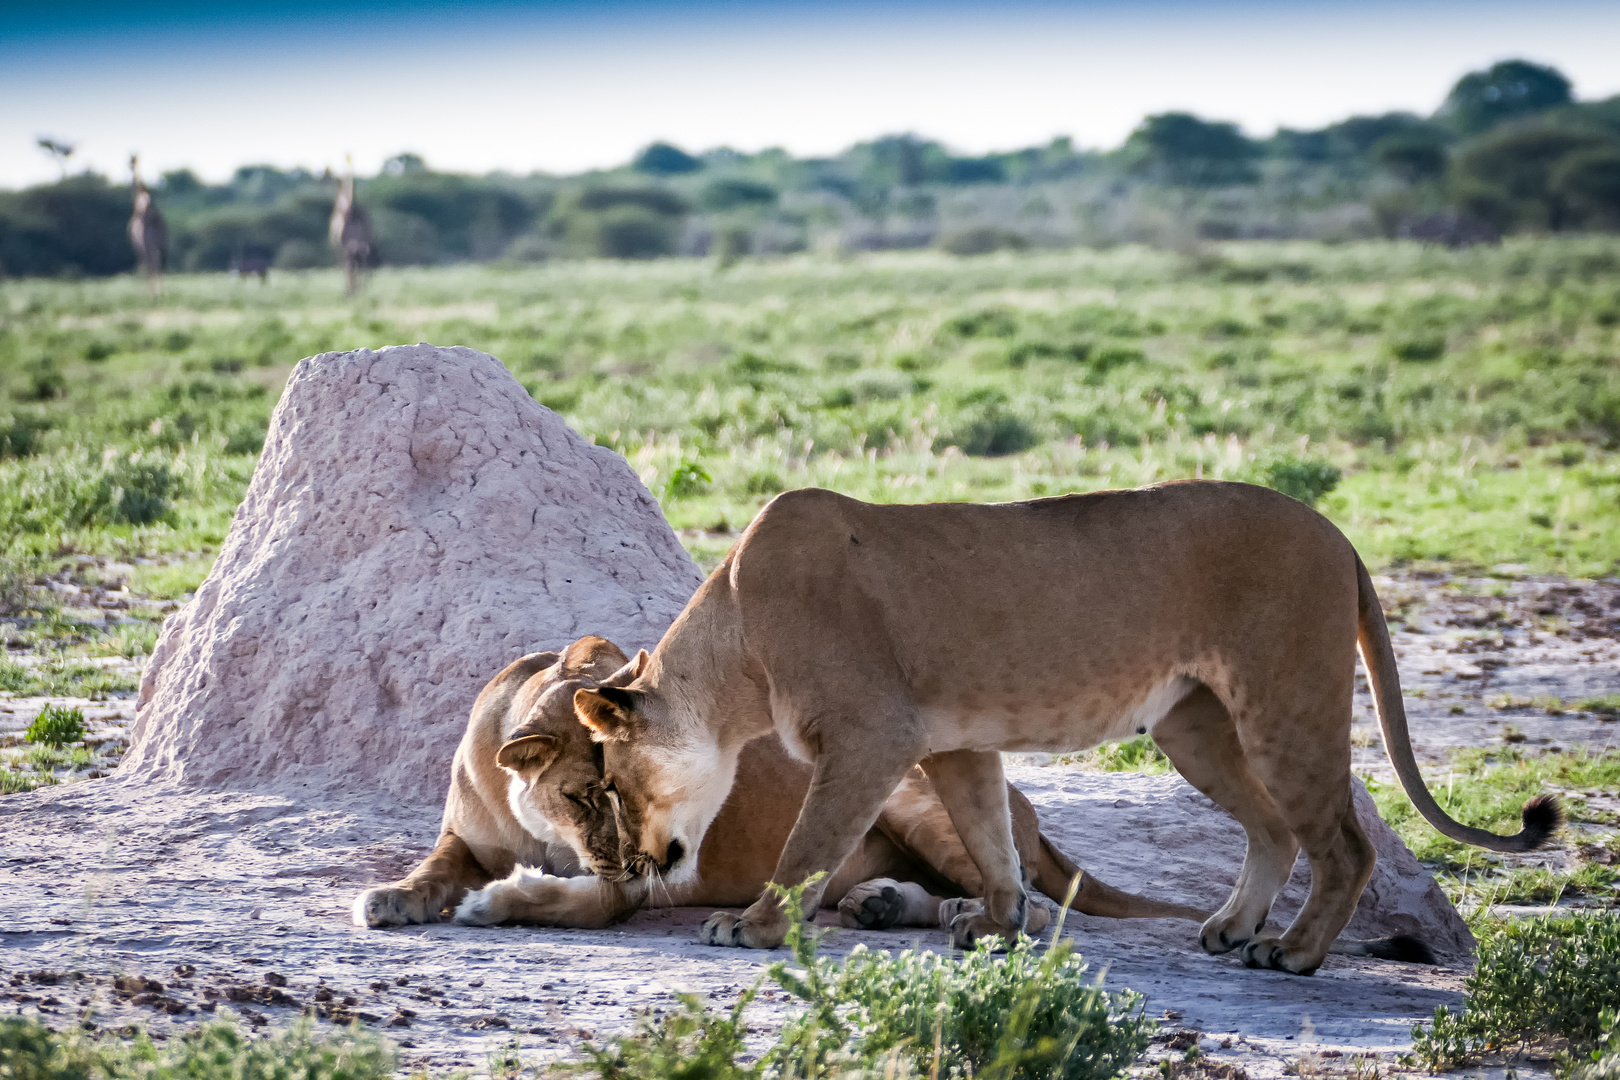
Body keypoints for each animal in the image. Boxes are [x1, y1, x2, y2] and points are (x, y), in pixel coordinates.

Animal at [127, 155, 167, 296]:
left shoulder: (136, 245)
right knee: (160, 261)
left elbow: (143, 266)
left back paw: (154, 294)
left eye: (132, 162)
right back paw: (160, 292)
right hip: (163, 242)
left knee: (150, 262)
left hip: (146, 242)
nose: (131, 167)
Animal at [332, 156, 375, 296]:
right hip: (358, 248)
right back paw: (357, 289)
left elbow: (348, 267)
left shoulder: (344, 247)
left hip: (352, 249)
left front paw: (351, 290)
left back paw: (353, 290)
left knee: (352, 267)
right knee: (356, 267)